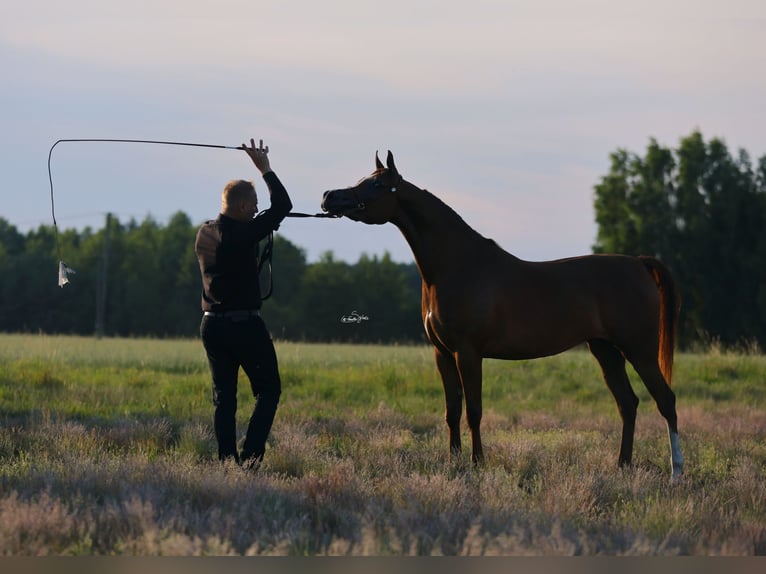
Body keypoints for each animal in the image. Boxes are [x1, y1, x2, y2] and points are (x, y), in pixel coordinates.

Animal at [320, 152, 688, 482]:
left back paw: (676, 472)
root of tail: (638, 263)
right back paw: (622, 466)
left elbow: (474, 411)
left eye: (378, 184)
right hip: (605, 351)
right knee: (628, 403)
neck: (458, 266)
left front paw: (477, 463)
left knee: (666, 400)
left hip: (639, 350)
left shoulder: (468, 352)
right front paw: (453, 462)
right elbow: (452, 411)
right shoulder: (442, 354)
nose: (329, 197)